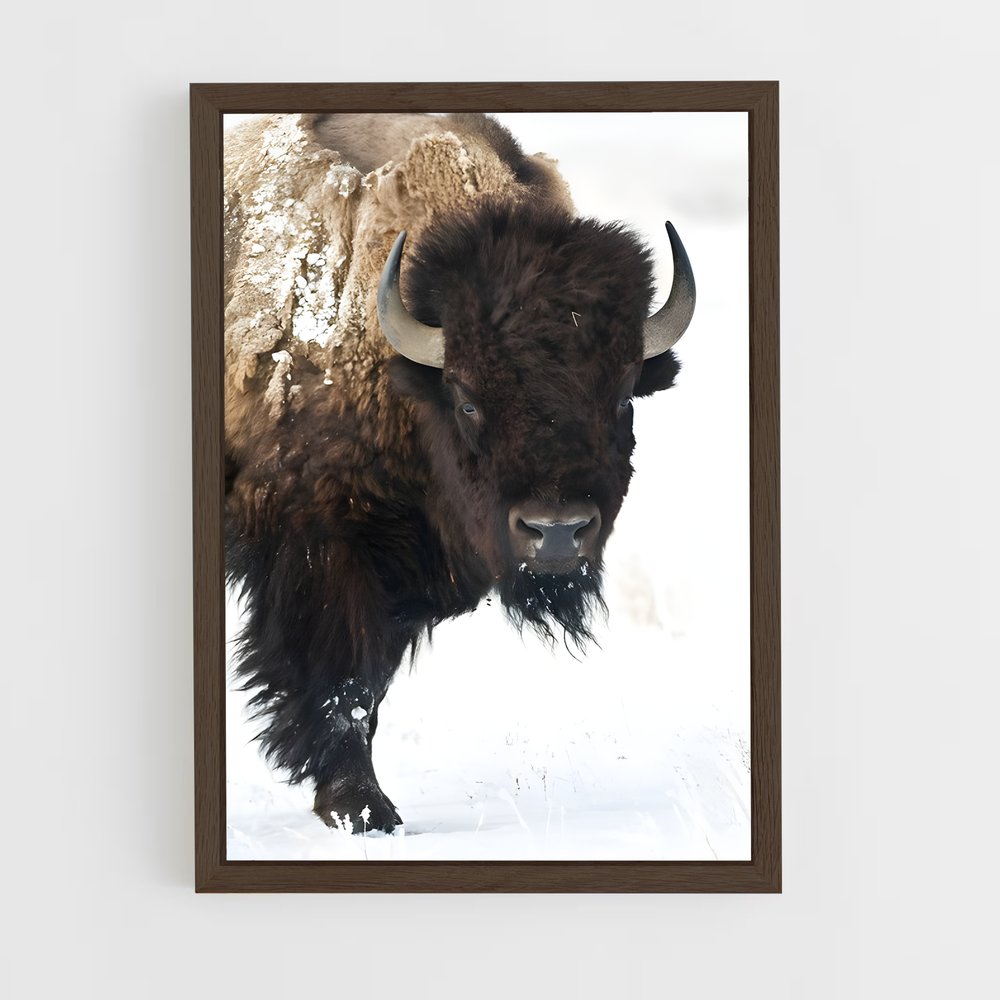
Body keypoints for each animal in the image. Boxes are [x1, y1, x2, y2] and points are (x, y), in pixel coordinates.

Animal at [224, 113, 696, 832]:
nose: (557, 533)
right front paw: (362, 809)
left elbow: (369, 687)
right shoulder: (319, 548)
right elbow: (341, 682)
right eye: (468, 398)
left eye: (621, 397)